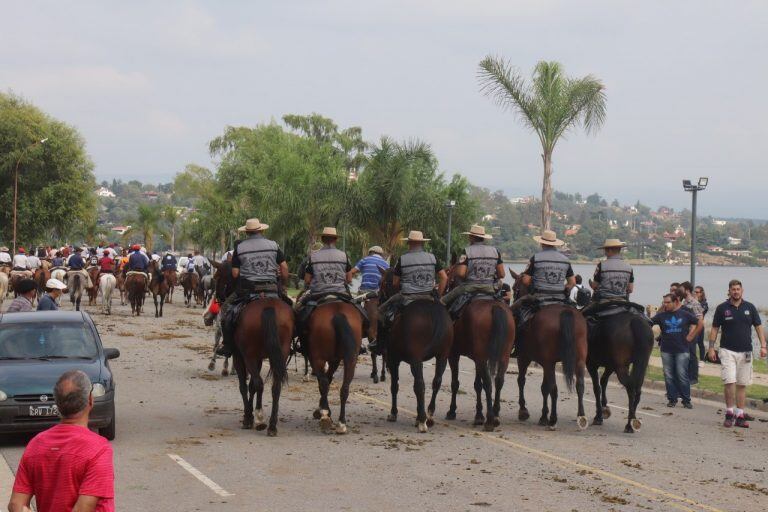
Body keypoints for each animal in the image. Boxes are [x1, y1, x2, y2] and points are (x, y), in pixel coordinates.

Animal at [230, 300, 292, 436]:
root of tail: (268, 306)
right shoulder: (258, 359)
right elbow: (251, 386)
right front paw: (250, 416)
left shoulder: (239, 357)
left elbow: (244, 387)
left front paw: (248, 418)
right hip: (281, 354)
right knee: (276, 387)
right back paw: (272, 426)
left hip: (249, 357)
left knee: (259, 383)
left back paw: (260, 419)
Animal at [306, 302, 364, 434]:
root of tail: (338, 313)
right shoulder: (335, 360)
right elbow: (329, 378)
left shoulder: (317, 358)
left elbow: (324, 381)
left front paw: (322, 410)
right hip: (351, 359)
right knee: (344, 388)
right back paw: (341, 423)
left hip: (318, 358)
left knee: (323, 383)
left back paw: (325, 416)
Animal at [380, 270, 456, 434]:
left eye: (384, 283)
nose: (380, 296)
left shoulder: (394, 359)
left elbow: (394, 386)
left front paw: (394, 413)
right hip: (442, 356)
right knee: (436, 382)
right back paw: (429, 415)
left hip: (415, 358)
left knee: (420, 385)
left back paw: (422, 420)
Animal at [450, 298, 516, 430]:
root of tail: (494, 306)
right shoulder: (477, 359)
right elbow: (477, 385)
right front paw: (479, 415)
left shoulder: (454, 354)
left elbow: (455, 383)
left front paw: (452, 411)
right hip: (503, 357)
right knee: (498, 381)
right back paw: (495, 414)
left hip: (481, 358)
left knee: (488, 383)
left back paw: (490, 419)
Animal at [510, 274, 588, 430]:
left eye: (515, 288)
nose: (514, 299)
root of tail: (565, 312)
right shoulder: (545, 363)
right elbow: (544, 387)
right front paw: (543, 415)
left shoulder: (524, 358)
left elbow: (522, 381)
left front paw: (525, 411)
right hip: (578, 360)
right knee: (579, 385)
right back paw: (581, 416)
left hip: (547, 363)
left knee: (553, 388)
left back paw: (553, 419)